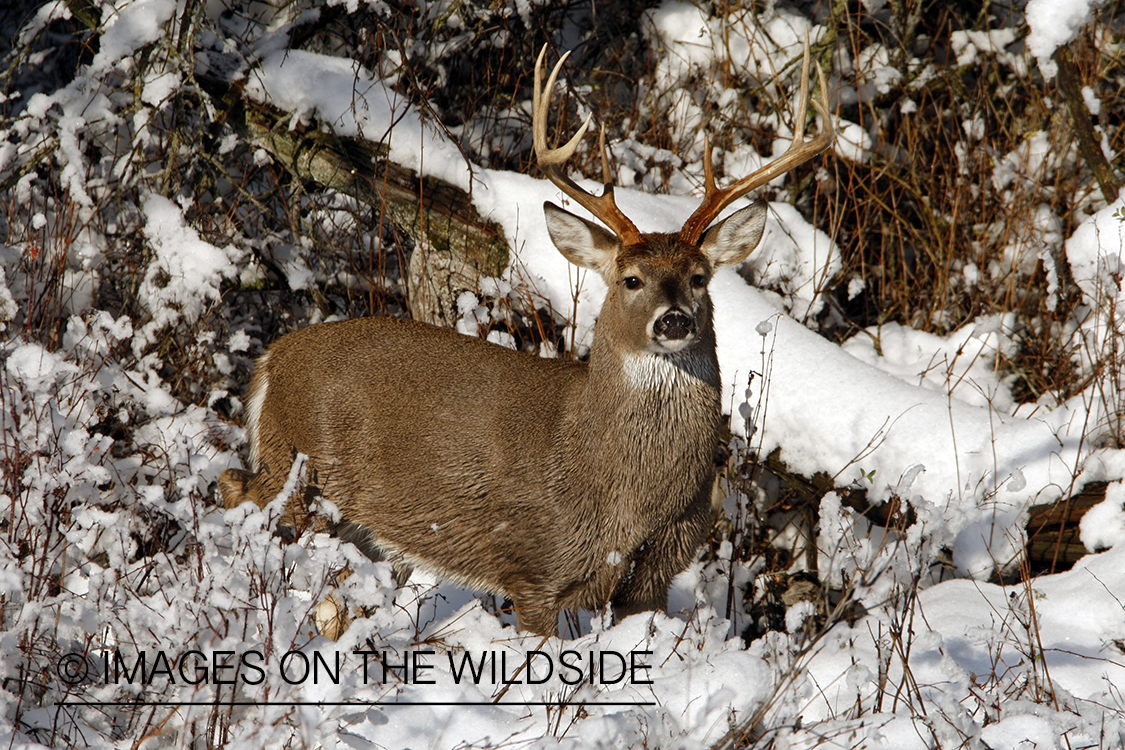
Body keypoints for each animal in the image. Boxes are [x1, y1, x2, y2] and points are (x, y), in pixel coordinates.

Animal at [221, 44, 837, 638]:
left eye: (700, 277)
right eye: (630, 279)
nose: (674, 321)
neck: (626, 491)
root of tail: (273, 357)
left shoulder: (660, 566)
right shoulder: (532, 564)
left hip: (349, 517)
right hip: (295, 469)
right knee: (235, 487)